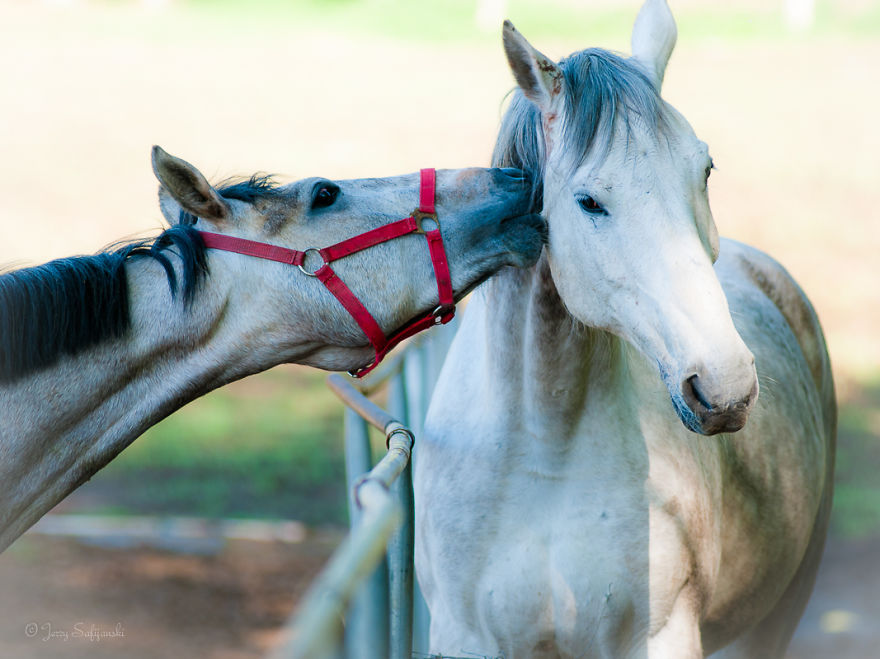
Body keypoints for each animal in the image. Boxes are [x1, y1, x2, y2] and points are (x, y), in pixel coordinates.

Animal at [414, 1, 835, 657]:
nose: (725, 385)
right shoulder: (465, 638)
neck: (544, 457)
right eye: (589, 201)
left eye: (705, 170)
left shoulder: (660, 636)